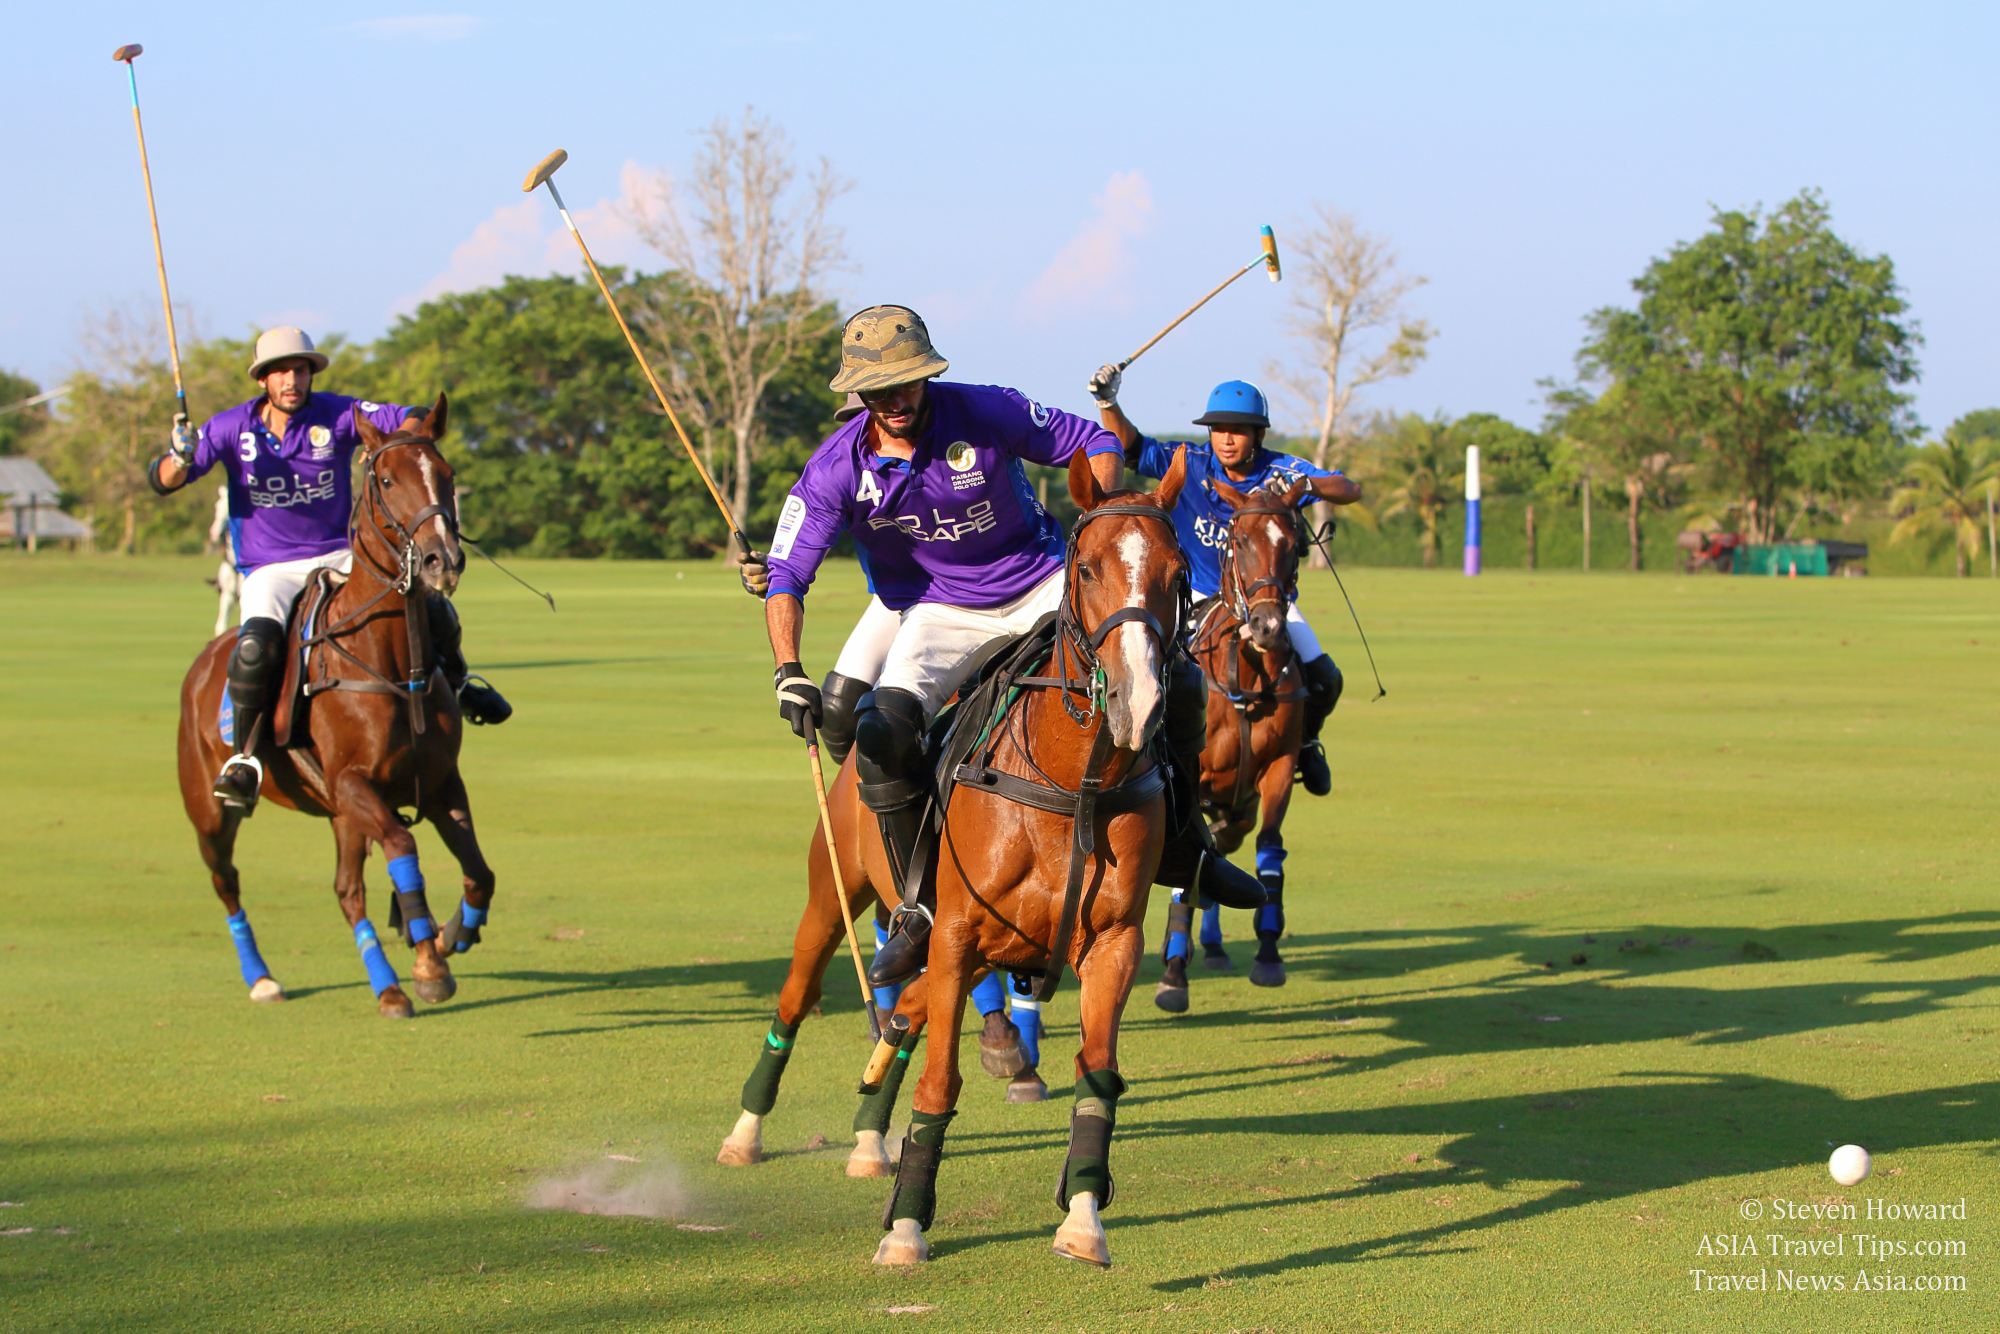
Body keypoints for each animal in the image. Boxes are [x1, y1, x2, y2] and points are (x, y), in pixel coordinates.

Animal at [176, 396, 496, 1024]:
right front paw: (431, 965)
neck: (393, 661)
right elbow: (403, 847)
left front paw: (451, 937)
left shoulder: (439, 782)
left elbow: (479, 873)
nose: (440, 561)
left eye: (446, 476)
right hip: (212, 811)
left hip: (339, 815)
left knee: (347, 890)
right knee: (227, 880)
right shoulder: (353, 782)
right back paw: (263, 979)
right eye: (387, 480)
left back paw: (388, 988)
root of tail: (204, 660)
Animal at [1176, 480, 1320, 992]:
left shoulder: (1278, 768)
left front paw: (1269, 952)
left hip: (1238, 803)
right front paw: (1172, 977)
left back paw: (1215, 947)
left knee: (1226, 845)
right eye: (1239, 541)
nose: (1268, 627)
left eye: (1294, 544)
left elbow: (1269, 850)